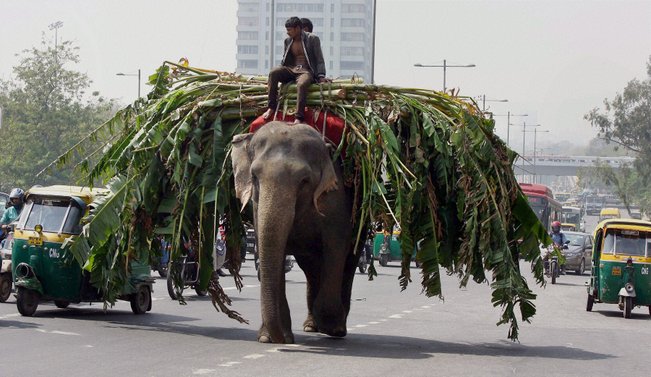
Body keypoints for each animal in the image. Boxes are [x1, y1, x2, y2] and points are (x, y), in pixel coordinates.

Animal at [230, 121, 362, 344]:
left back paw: (335, 327)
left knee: (349, 263)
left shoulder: (336, 199)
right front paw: (269, 337)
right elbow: (271, 248)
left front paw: (330, 326)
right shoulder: (257, 206)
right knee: (311, 268)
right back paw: (310, 326)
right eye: (254, 176)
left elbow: (336, 247)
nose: (283, 341)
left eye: (304, 180)